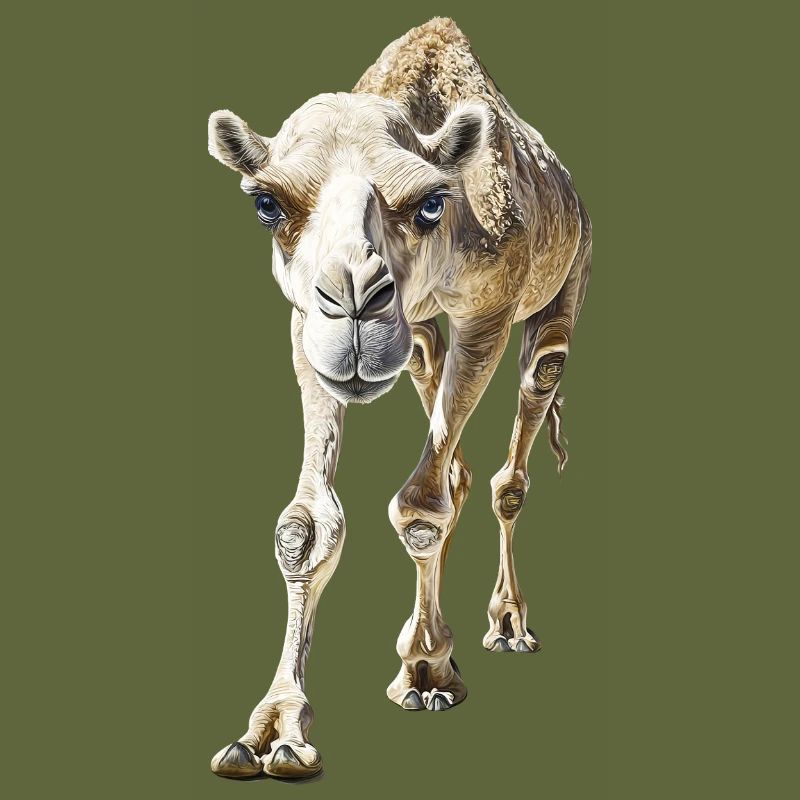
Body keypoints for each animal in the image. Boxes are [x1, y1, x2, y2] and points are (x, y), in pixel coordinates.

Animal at [207, 17, 591, 780]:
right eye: (268, 204)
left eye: (431, 202)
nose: (355, 299)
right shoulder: (304, 324)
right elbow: (305, 526)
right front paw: (271, 731)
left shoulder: (488, 313)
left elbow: (420, 506)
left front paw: (426, 672)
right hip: (416, 337)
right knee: (453, 452)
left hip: (568, 280)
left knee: (526, 419)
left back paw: (507, 626)